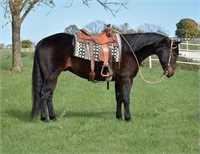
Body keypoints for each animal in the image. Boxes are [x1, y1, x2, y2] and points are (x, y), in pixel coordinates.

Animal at [30, 32, 180, 121]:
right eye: (174, 54)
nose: (171, 72)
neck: (129, 50)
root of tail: (42, 41)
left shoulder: (118, 81)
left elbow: (119, 98)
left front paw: (119, 117)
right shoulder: (126, 80)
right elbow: (126, 98)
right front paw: (128, 118)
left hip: (51, 77)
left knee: (49, 96)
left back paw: (53, 117)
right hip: (51, 76)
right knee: (44, 95)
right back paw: (45, 119)